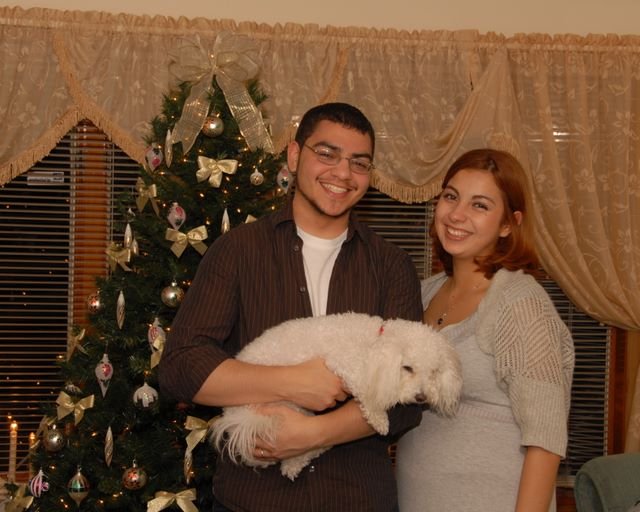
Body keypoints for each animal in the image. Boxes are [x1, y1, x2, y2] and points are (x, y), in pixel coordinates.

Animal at [209, 311, 462, 480]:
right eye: (407, 368)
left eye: (434, 371)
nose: (421, 398)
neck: (376, 341)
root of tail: (236, 417)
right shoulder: (346, 364)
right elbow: (367, 396)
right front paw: (380, 419)